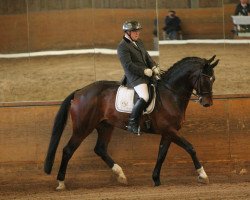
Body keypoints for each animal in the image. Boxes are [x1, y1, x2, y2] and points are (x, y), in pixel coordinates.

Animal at [44, 55, 219, 189]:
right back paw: (61, 183)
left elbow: (161, 155)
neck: (170, 94)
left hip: (105, 126)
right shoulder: (170, 130)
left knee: (100, 149)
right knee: (68, 150)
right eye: (205, 79)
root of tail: (79, 92)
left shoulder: (168, 133)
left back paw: (121, 175)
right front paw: (203, 175)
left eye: (214, 79)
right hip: (83, 128)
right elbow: (190, 148)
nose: (207, 103)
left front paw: (156, 179)